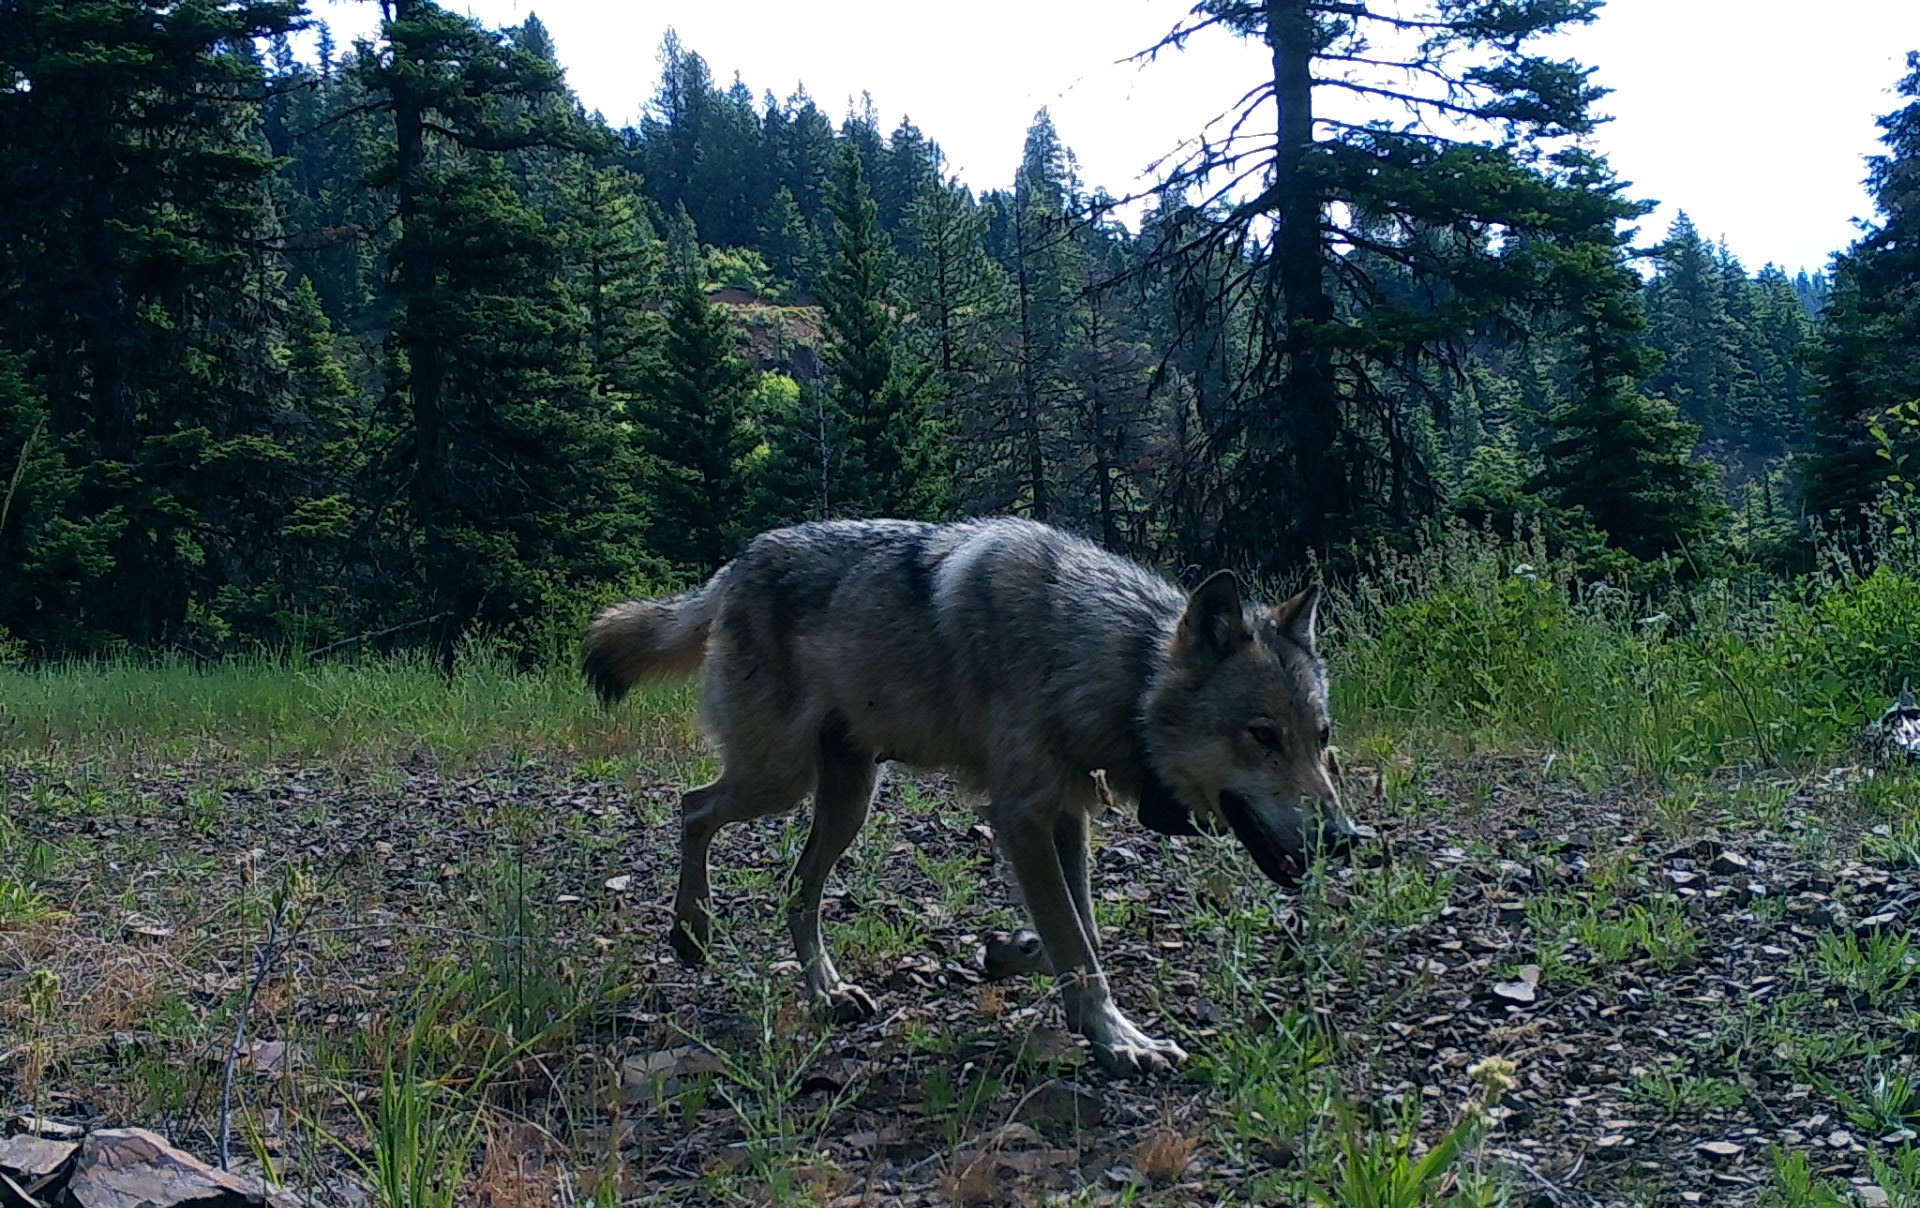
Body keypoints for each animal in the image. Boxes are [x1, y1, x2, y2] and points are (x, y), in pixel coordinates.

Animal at [583, 518, 1367, 1075]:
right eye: (1262, 736)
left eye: (1322, 736)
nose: (1346, 839)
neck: (1095, 659)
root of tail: (739, 562)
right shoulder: (1020, 817)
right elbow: (1077, 944)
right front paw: (1119, 1040)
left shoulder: (1065, 817)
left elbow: (1079, 934)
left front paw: (1012, 953)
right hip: (779, 779)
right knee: (693, 807)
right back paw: (692, 931)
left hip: (848, 800)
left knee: (793, 889)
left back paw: (828, 995)